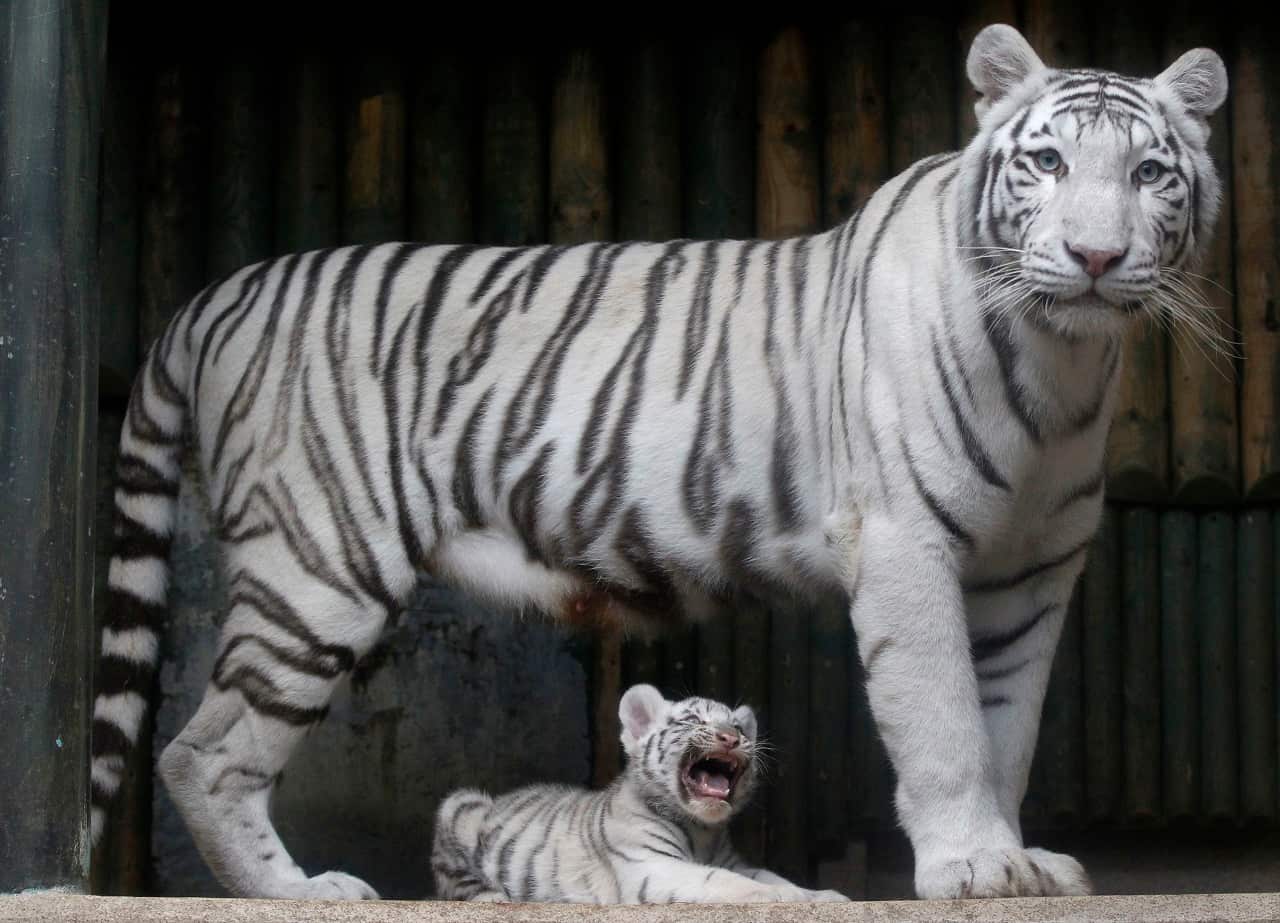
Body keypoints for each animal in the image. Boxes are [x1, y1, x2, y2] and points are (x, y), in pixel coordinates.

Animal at [431, 684, 847, 903]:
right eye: (692, 720)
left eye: (740, 729)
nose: (730, 738)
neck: (703, 829)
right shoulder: (652, 866)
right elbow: (724, 881)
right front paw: (787, 899)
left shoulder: (732, 861)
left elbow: (768, 874)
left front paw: (822, 896)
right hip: (458, 805)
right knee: (452, 881)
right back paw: (496, 897)